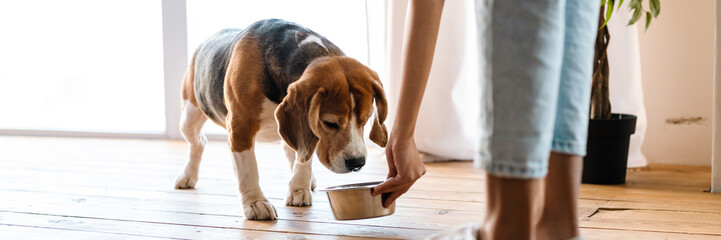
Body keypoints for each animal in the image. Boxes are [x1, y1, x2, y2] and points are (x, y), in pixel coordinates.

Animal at [174, 19, 386, 220]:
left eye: (365, 120)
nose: (357, 163)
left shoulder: (307, 134)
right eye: (330, 123)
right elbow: (248, 171)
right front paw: (255, 203)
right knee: (199, 142)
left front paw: (299, 188)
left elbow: (303, 159)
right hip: (188, 117)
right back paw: (187, 176)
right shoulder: (240, 128)